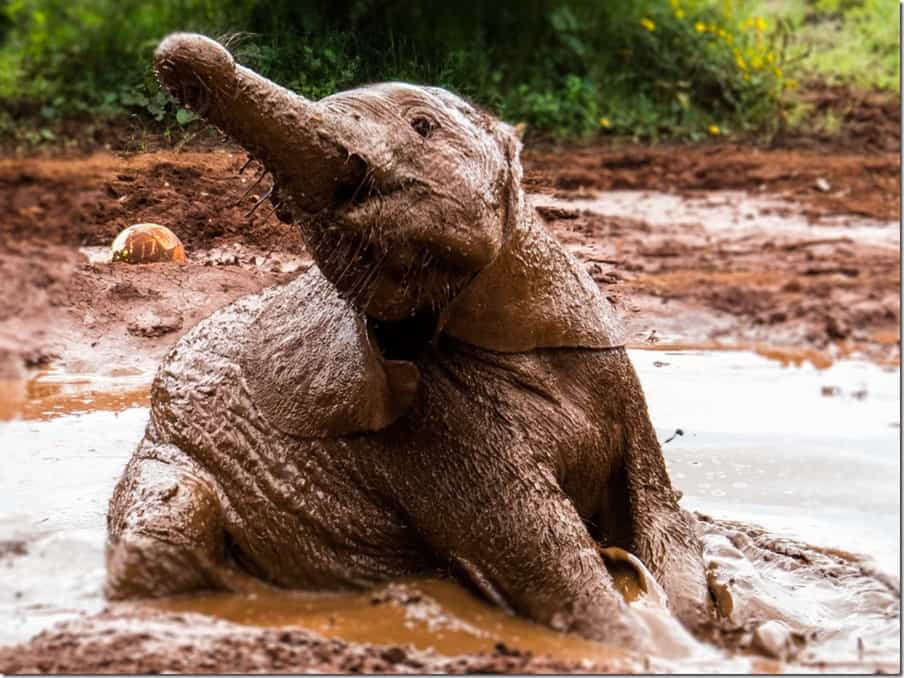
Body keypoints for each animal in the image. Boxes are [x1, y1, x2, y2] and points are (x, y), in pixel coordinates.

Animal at [104, 34, 712, 652]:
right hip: (168, 461)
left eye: (422, 127)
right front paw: (654, 643)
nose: (181, 56)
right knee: (162, 540)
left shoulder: (606, 364)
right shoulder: (437, 433)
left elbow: (662, 519)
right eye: (284, 206)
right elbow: (561, 577)